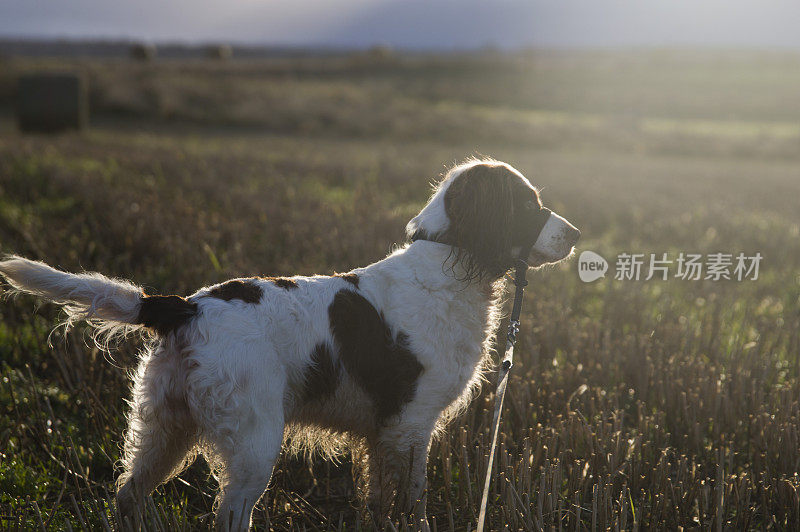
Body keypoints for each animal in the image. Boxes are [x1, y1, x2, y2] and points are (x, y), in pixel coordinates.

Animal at [0, 159, 576, 532]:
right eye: (529, 204)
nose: (574, 233)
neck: (449, 265)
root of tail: (185, 306)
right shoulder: (410, 425)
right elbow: (413, 504)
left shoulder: (381, 434)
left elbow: (379, 503)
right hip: (253, 442)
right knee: (230, 515)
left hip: (165, 429)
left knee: (127, 495)